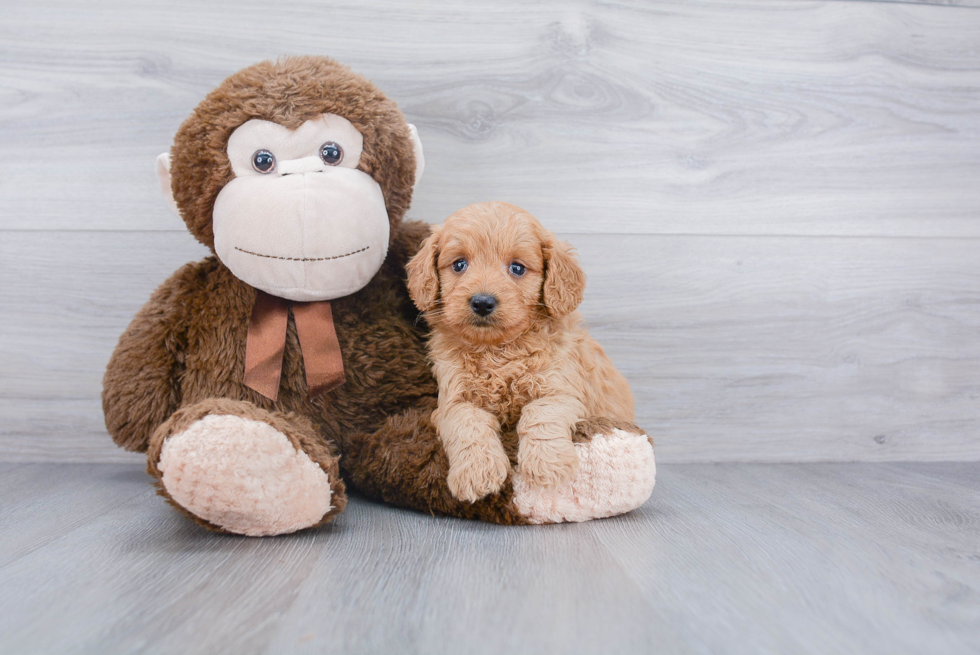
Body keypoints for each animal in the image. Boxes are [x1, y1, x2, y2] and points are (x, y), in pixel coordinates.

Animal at [406, 200, 636, 502]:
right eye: (459, 264)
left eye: (517, 268)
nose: (482, 302)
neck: (498, 351)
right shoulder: (453, 401)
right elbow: (468, 425)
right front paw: (476, 473)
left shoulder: (561, 390)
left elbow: (540, 413)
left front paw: (547, 464)